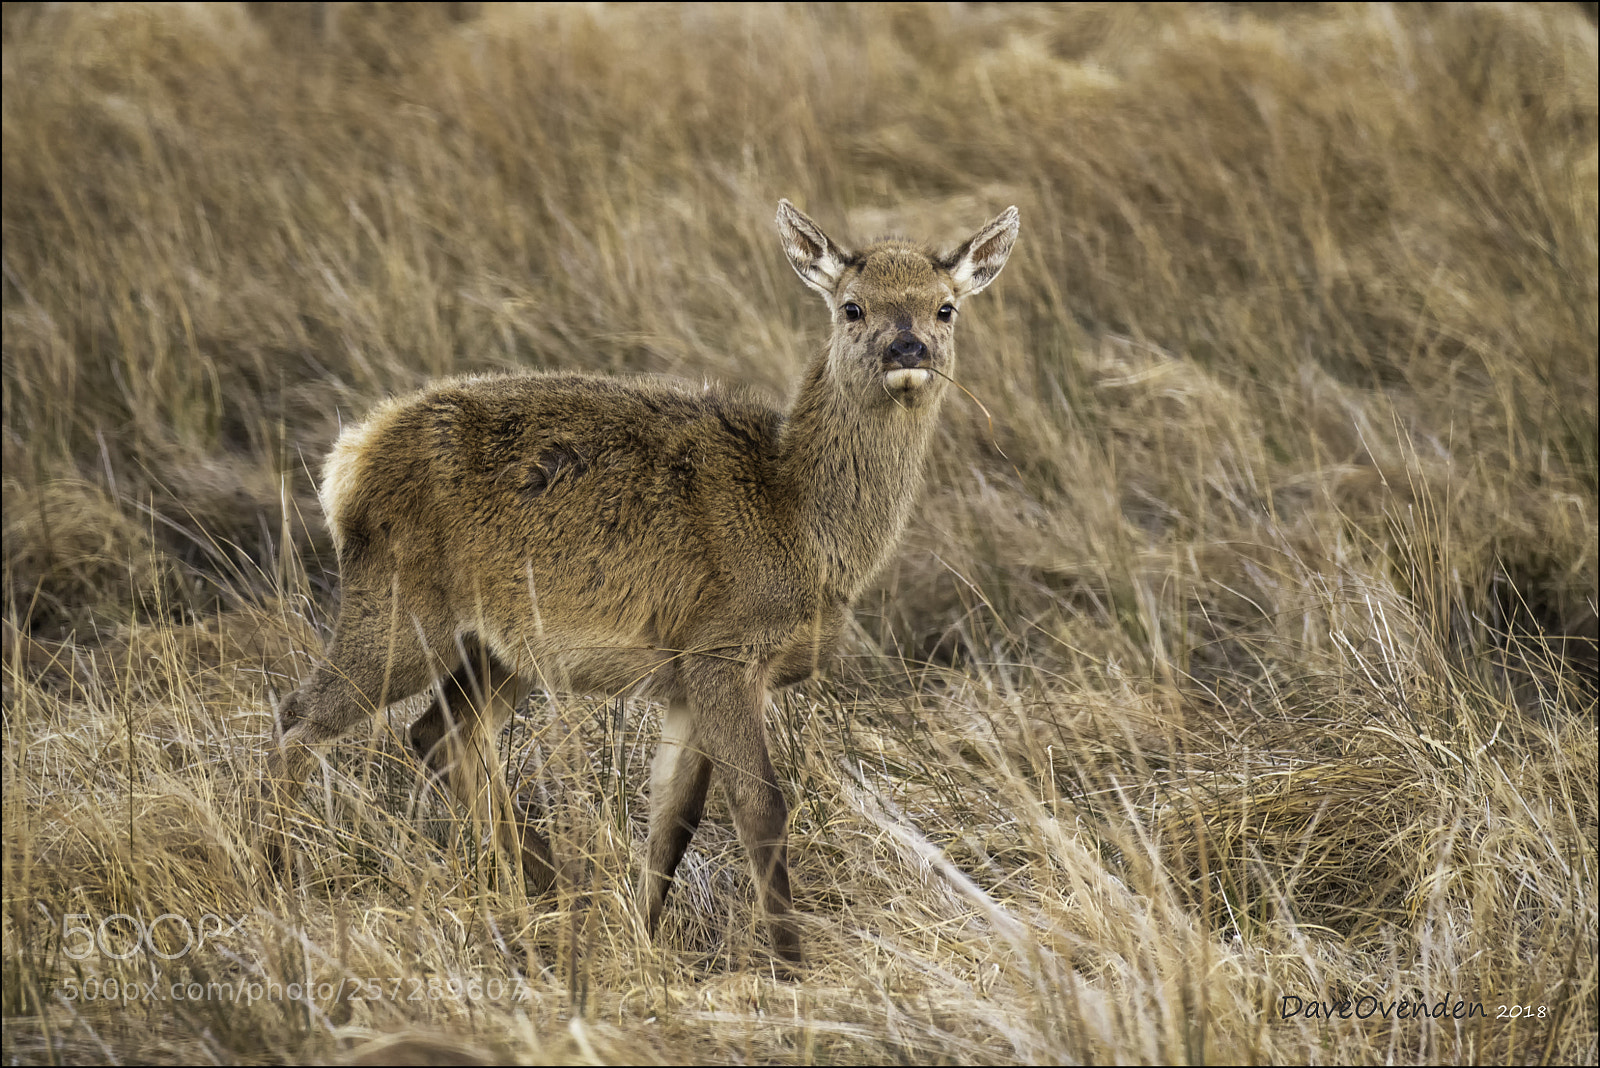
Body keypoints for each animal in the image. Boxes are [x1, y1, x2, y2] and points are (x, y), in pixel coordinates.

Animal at [262, 199, 1020, 967]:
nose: (908, 350)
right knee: (301, 715)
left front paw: (645, 936)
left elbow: (675, 818)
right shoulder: (722, 649)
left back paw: (558, 890)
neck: (801, 525)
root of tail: (348, 460)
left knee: (440, 737)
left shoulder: (684, 676)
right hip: (399, 605)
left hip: (501, 646)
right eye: (852, 307)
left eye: (946, 307)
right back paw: (277, 873)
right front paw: (790, 963)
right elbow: (761, 807)